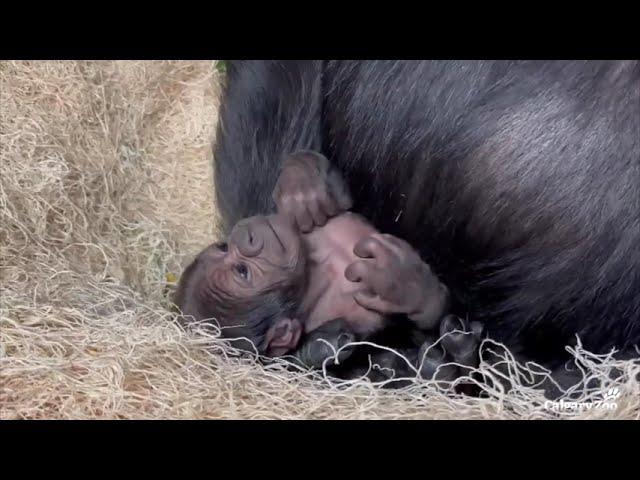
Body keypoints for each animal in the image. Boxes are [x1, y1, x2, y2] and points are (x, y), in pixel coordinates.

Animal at [172, 150, 482, 382]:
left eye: (224, 249)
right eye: (242, 272)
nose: (244, 237)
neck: (315, 269)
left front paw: (302, 179)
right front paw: (404, 286)